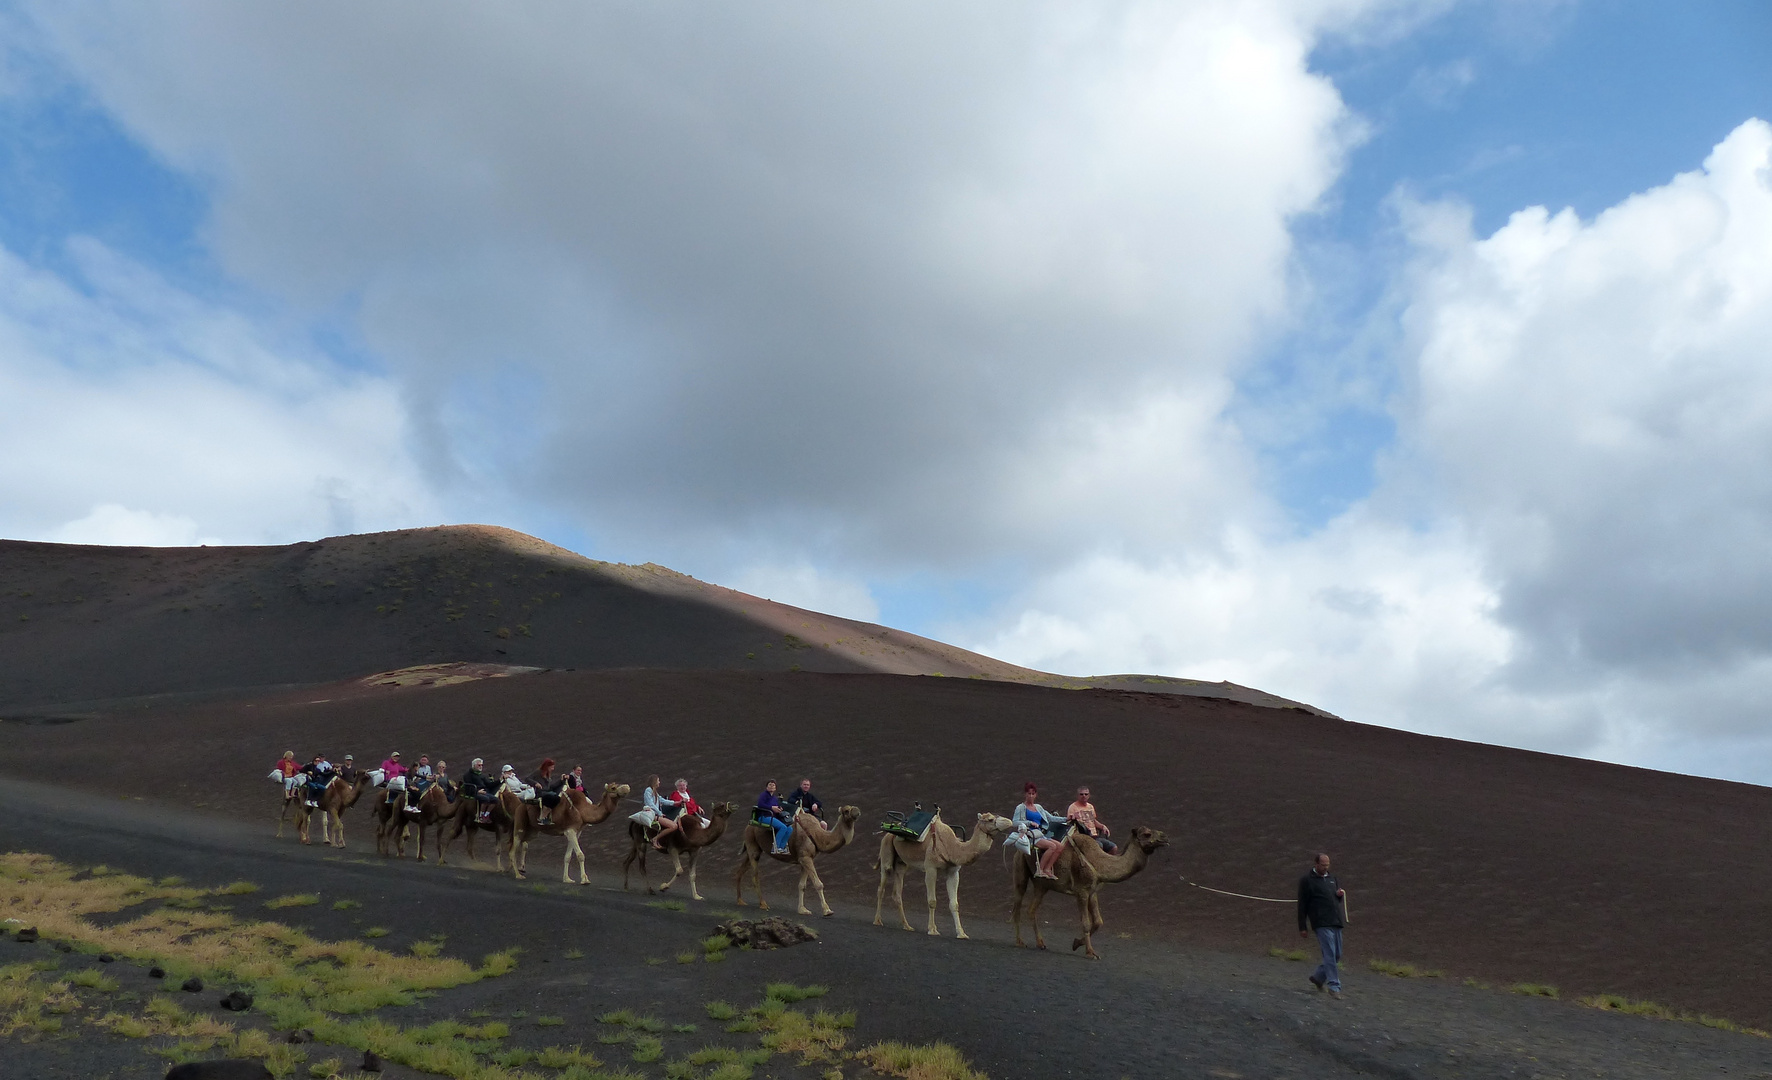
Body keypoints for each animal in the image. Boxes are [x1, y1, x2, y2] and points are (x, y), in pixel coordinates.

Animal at [499, 780, 630, 879]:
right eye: (613, 787)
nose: (627, 787)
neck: (582, 810)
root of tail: (520, 804)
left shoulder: (576, 832)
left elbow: (568, 857)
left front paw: (567, 879)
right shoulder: (570, 831)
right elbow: (580, 855)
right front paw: (584, 880)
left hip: (532, 831)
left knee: (514, 844)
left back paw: (509, 869)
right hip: (520, 822)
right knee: (513, 847)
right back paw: (518, 875)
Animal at [733, 805, 864, 915]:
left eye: (853, 807)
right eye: (846, 810)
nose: (857, 811)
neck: (816, 835)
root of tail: (748, 826)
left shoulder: (805, 859)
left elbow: (802, 886)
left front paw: (803, 910)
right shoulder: (805, 857)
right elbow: (818, 884)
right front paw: (827, 910)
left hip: (753, 848)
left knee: (740, 871)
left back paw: (740, 901)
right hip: (752, 844)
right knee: (755, 876)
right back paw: (763, 904)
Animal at [871, 808, 1013, 936]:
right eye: (990, 819)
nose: (1009, 821)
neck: (952, 848)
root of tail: (888, 833)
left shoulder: (953, 873)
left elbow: (954, 904)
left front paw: (961, 933)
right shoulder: (930, 868)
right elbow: (932, 901)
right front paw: (932, 930)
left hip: (901, 864)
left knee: (897, 892)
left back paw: (907, 926)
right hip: (886, 853)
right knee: (881, 887)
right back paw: (877, 921)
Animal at [1013, 829, 1176, 957]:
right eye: (1147, 834)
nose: (1165, 837)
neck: (1098, 864)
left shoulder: (1092, 892)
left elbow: (1098, 921)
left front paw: (1076, 943)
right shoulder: (1081, 892)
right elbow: (1086, 923)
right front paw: (1090, 952)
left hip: (1042, 885)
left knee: (1031, 909)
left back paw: (1040, 943)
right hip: (1021, 868)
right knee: (1018, 904)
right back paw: (1020, 942)